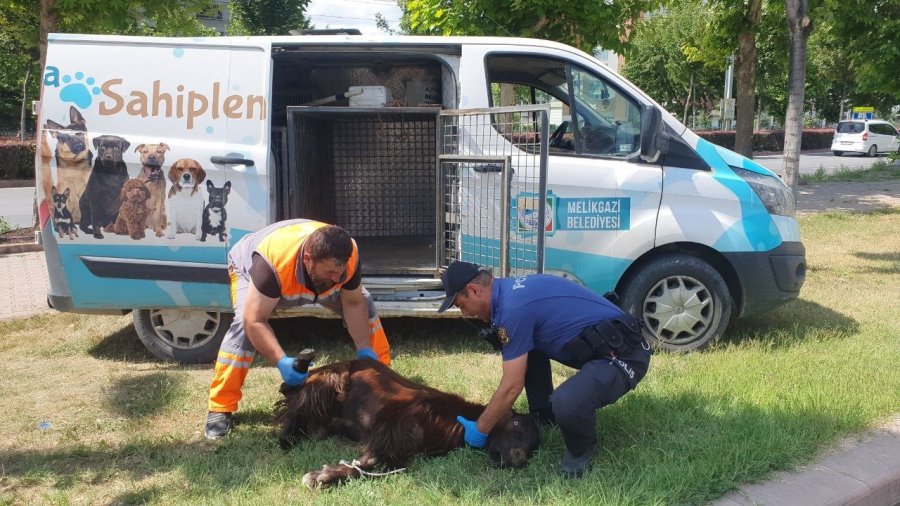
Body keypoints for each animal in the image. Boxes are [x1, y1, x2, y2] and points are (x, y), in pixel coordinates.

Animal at [274, 358, 540, 488]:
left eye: (534, 446)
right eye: (517, 423)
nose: (519, 459)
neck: (457, 420)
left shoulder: (403, 448)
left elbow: (372, 464)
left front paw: (327, 476)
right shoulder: (395, 418)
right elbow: (370, 458)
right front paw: (322, 476)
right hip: (328, 380)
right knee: (293, 407)